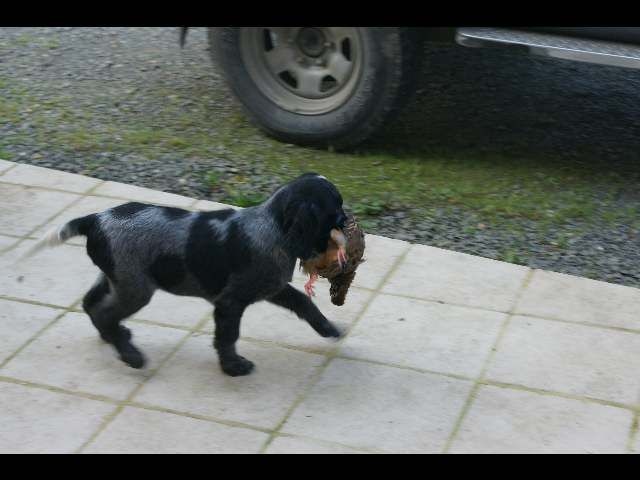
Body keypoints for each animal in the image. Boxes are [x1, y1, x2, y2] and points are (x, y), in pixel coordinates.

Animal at [27, 173, 347, 376]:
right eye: (336, 207)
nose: (348, 220)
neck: (273, 226)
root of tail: (94, 219)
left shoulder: (273, 286)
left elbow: (305, 304)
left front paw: (329, 329)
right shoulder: (230, 302)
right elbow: (228, 336)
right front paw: (233, 367)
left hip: (115, 278)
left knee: (91, 303)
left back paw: (115, 338)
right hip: (135, 288)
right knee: (105, 312)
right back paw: (131, 355)